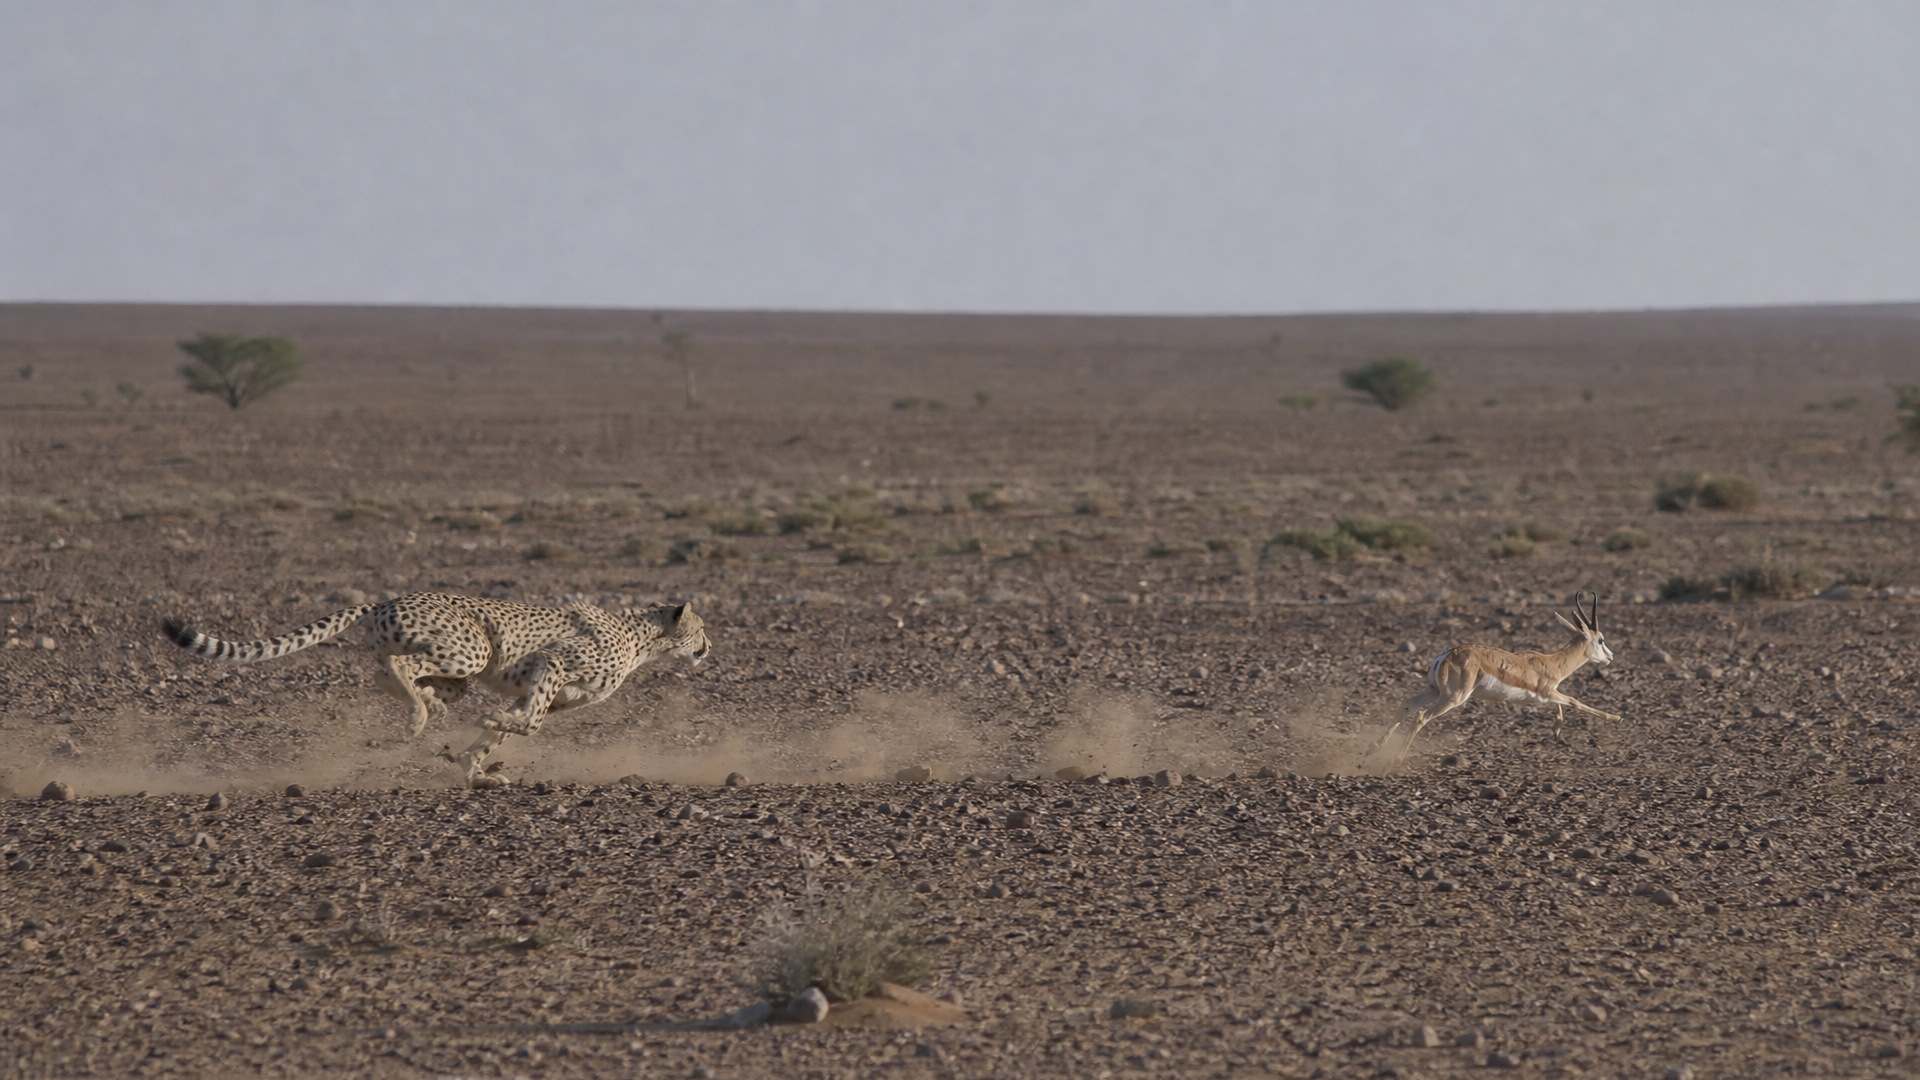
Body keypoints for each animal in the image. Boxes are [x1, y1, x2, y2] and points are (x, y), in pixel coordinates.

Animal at [162, 592, 711, 788]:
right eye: (702, 628)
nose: (709, 648)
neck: (642, 639)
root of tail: (389, 598)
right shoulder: (551, 663)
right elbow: (527, 725)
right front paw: (484, 739)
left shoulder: (537, 689)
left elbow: (512, 730)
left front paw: (474, 768)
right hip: (473, 651)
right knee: (403, 664)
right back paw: (419, 716)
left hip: (457, 675)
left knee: (386, 672)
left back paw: (425, 709)